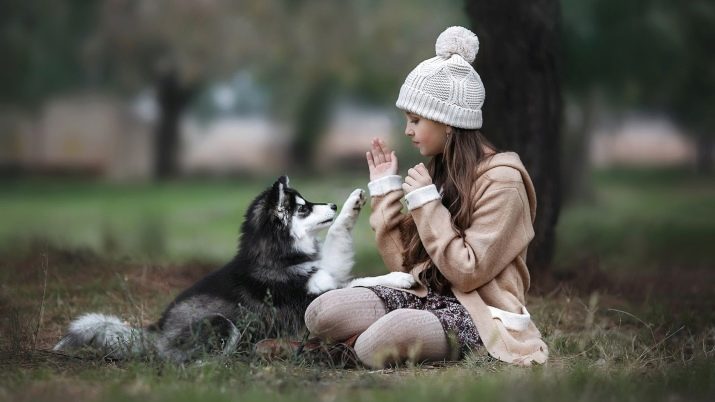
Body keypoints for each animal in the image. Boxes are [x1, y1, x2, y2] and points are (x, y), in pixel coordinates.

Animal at [54, 176, 414, 362]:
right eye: (302, 208)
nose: (334, 204)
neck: (278, 255)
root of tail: (158, 330)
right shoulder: (312, 296)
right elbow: (360, 281)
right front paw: (399, 277)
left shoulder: (327, 270)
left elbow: (338, 240)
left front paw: (353, 204)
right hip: (221, 323)